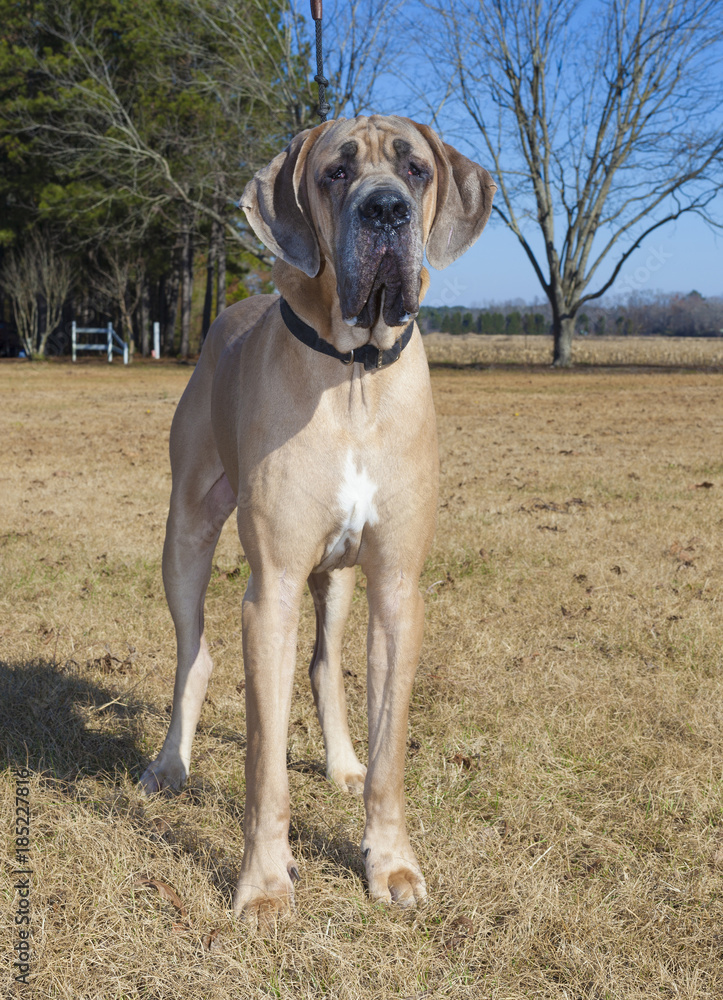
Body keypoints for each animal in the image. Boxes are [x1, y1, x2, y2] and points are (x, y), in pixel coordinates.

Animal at [139, 117, 494, 928]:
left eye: (417, 169)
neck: (353, 371)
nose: (386, 211)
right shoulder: (270, 589)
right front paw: (265, 886)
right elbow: (265, 766)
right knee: (193, 655)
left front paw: (390, 865)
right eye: (335, 172)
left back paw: (339, 762)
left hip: (335, 578)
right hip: (187, 533)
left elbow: (390, 751)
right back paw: (170, 764)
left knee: (325, 665)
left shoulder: (396, 587)